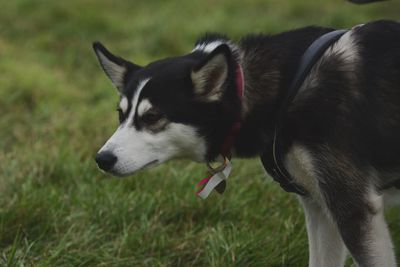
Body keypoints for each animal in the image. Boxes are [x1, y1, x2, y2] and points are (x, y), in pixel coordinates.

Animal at [93, 19, 400, 266]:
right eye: (121, 114)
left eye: (153, 117)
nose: (102, 159)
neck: (286, 89)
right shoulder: (319, 207)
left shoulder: (354, 210)